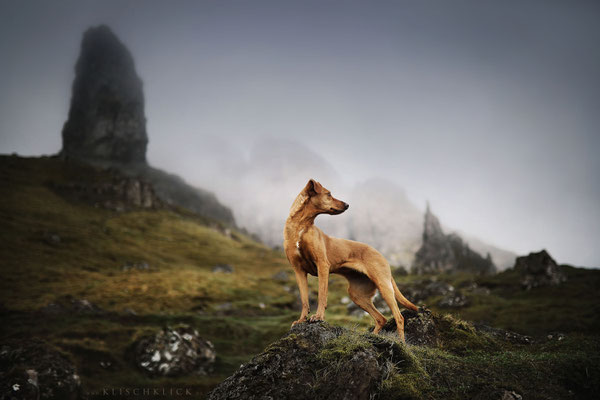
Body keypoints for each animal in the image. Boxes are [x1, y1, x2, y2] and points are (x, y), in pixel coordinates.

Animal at [282, 180, 418, 342]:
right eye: (329, 194)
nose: (347, 204)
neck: (301, 226)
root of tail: (381, 255)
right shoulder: (299, 271)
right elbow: (304, 300)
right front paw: (301, 320)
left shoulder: (322, 265)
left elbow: (322, 295)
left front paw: (318, 316)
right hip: (357, 294)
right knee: (381, 318)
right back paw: (372, 338)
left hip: (384, 286)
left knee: (399, 317)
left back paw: (402, 342)